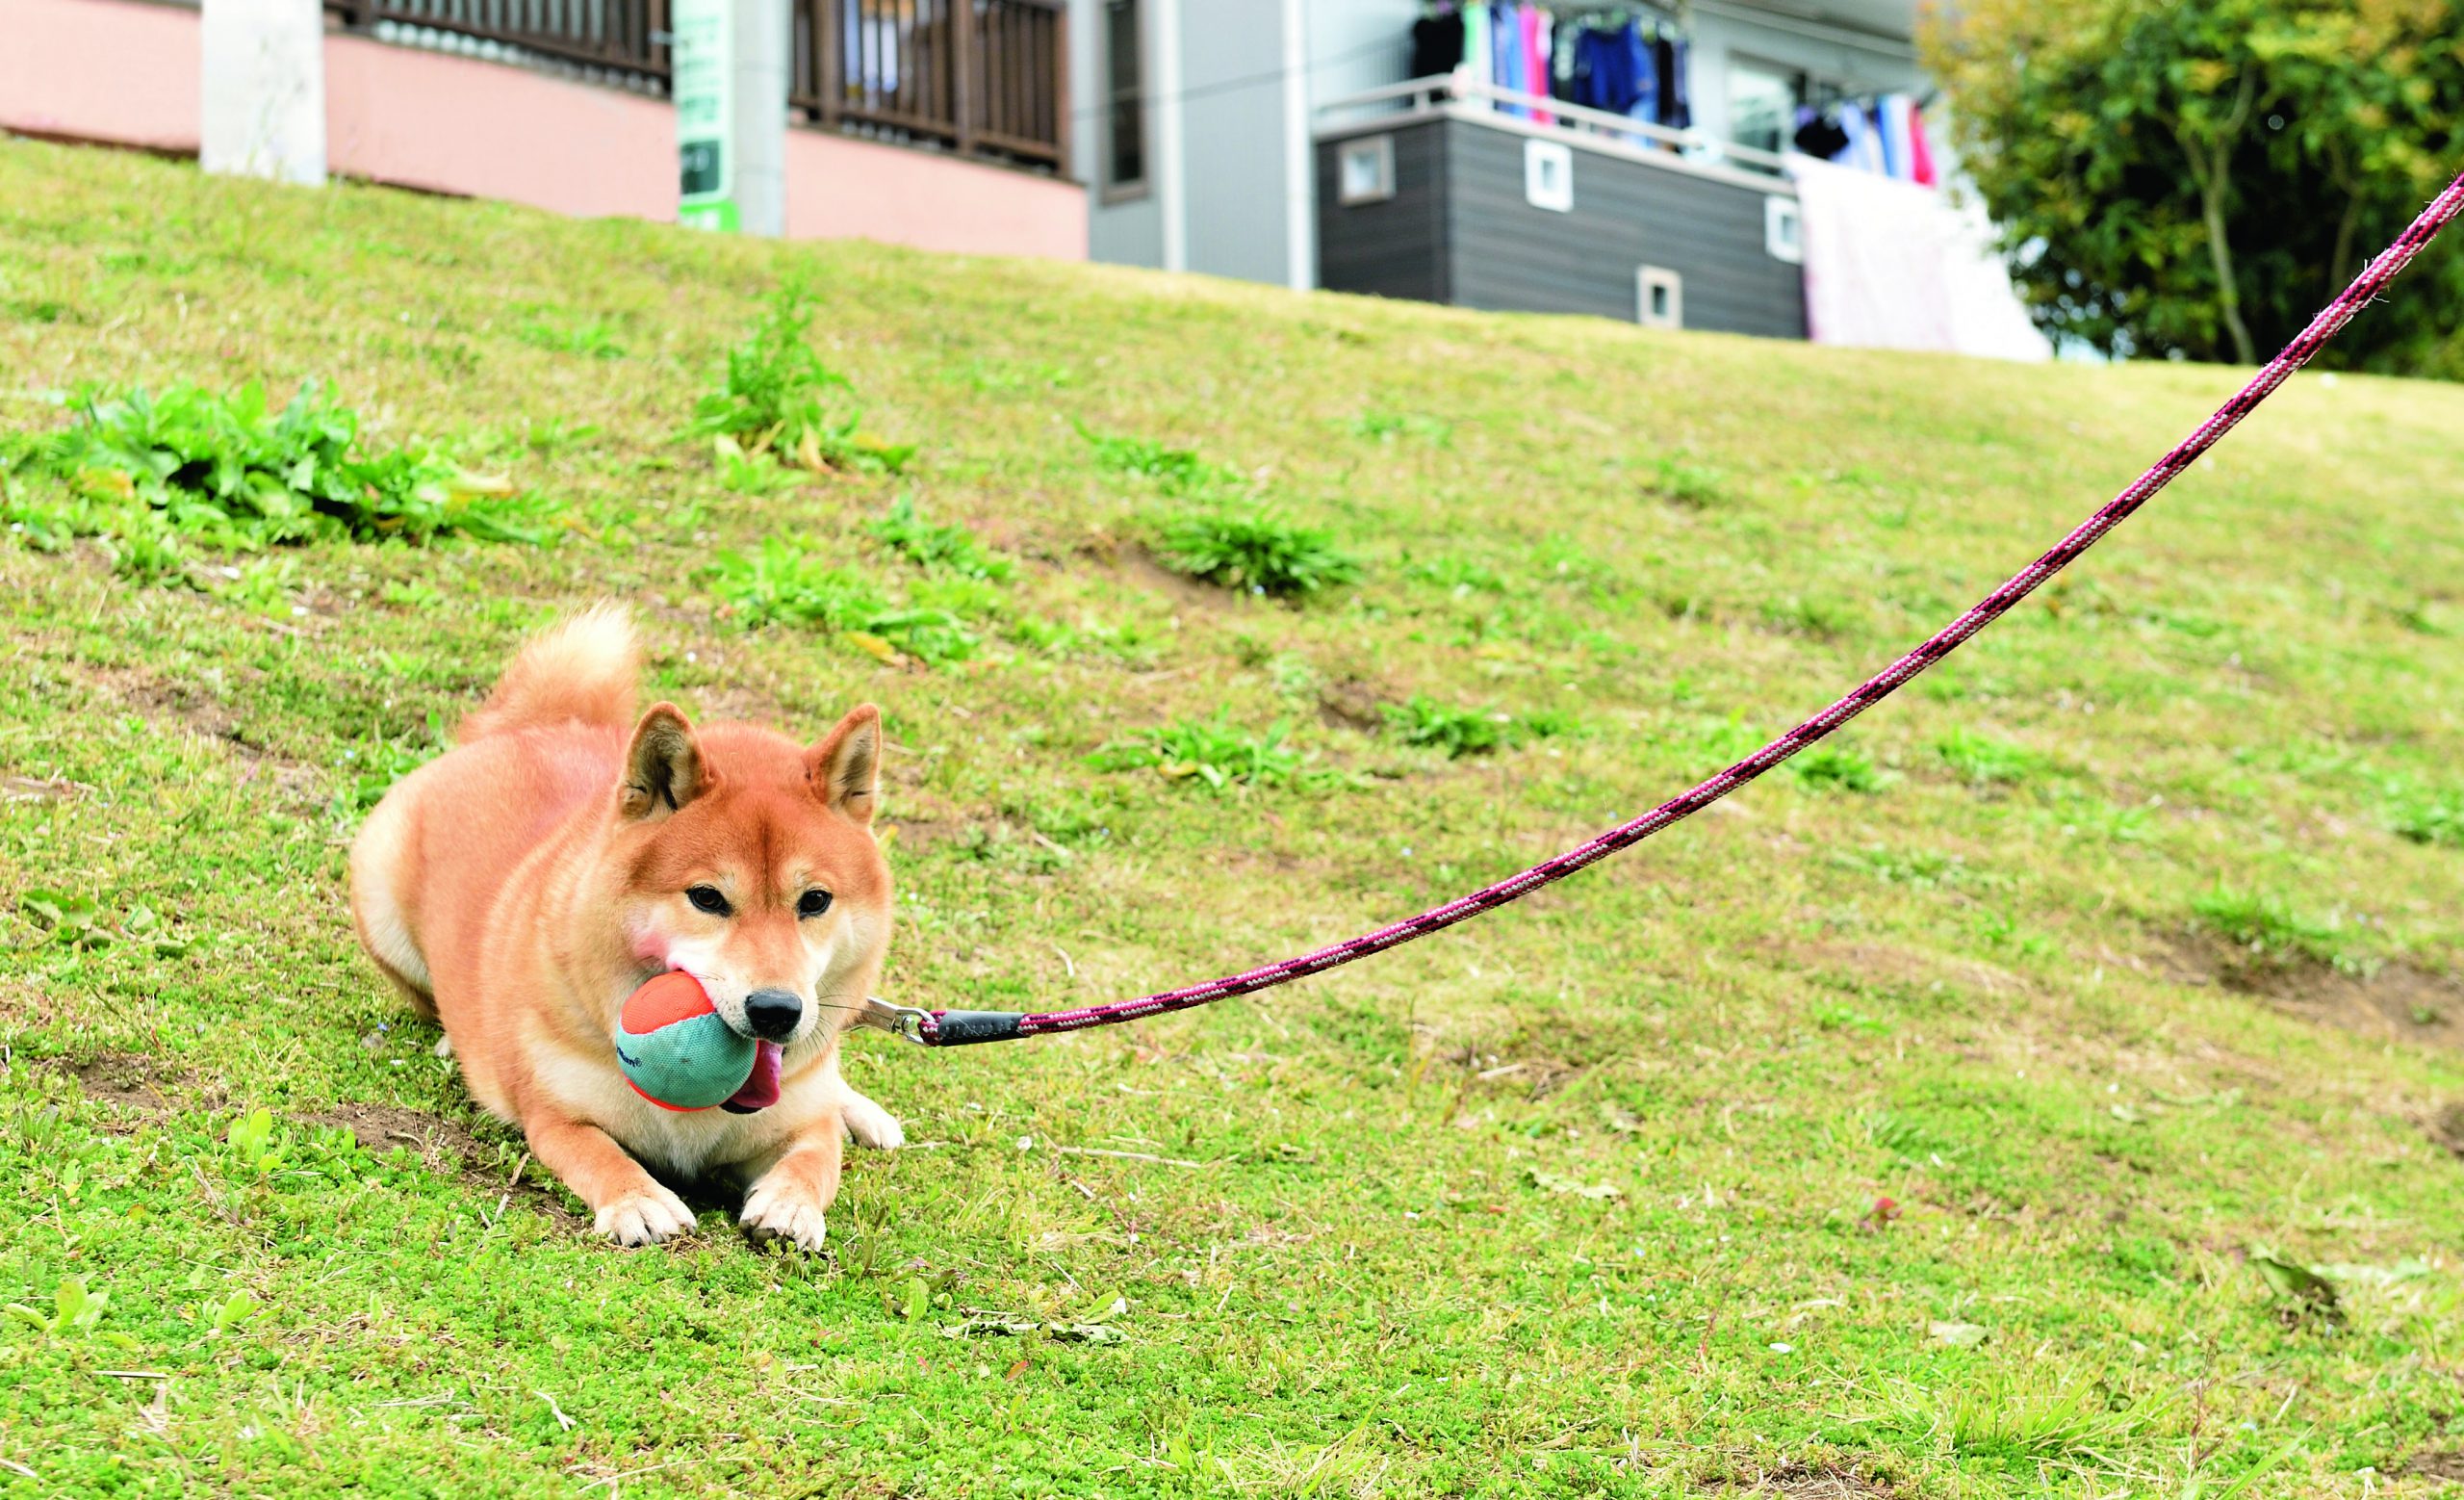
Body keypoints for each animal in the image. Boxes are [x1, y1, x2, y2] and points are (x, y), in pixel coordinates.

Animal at [352, 603, 901, 1246]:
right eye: (707, 898)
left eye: (814, 901)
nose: (776, 1010)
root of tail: (527, 729)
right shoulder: (556, 1119)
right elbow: (601, 1155)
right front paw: (638, 1200)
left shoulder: (803, 1123)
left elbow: (815, 1158)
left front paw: (792, 1205)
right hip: (379, 900)